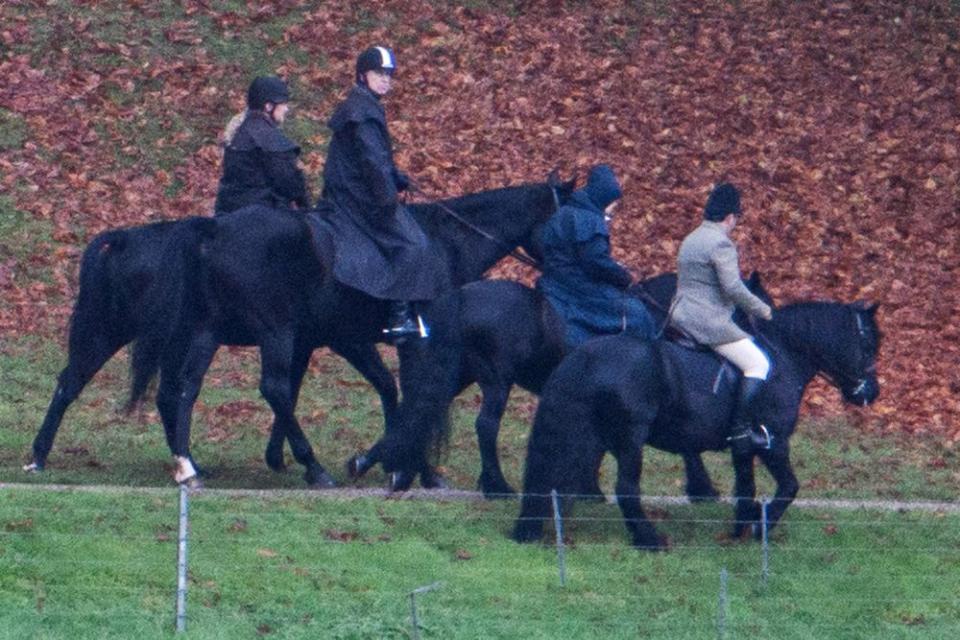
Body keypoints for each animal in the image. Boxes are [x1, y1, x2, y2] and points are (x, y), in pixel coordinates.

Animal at [130, 174, 572, 484]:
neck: (444, 243)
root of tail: (215, 229)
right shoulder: (387, 342)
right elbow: (412, 394)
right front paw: (416, 470)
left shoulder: (325, 340)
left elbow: (372, 389)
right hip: (273, 329)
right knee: (267, 387)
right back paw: (312, 467)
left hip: (214, 330)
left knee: (188, 387)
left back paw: (189, 465)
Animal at [354, 272, 772, 500]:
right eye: (758, 301)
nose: (763, 336)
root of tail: (462, 296)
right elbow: (685, 444)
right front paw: (701, 487)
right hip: (496, 379)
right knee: (483, 426)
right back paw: (496, 485)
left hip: (460, 375)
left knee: (417, 415)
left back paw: (384, 466)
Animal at [512, 298, 880, 548]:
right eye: (867, 344)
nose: (871, 393)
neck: (783, 356)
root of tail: (585, 357)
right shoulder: (774, 442)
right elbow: (789, 487)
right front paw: (761, 528)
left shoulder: (743, 449)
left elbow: (745, 488)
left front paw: (741, 529)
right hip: (629, 439)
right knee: (625, 488)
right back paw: (649, 540)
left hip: (590, 437)